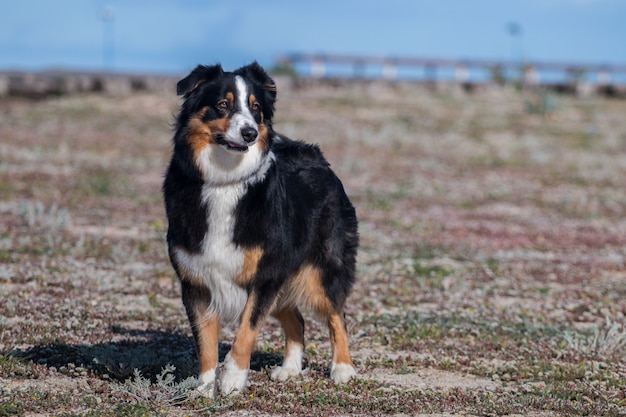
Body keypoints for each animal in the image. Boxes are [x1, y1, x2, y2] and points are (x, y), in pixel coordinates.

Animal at [162, 62, 356, 396]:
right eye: (223, 104)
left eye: (255, 108)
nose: (250, 132)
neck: (225, 181)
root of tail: (315, 154)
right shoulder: (196, 281)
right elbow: (205, 343)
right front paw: (204, 388)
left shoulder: (265, 274)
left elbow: (246, 330)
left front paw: (232, 379)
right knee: (297, 320)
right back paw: (289, 369)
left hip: (323, 271)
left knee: (337, 316)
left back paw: (342, 369)